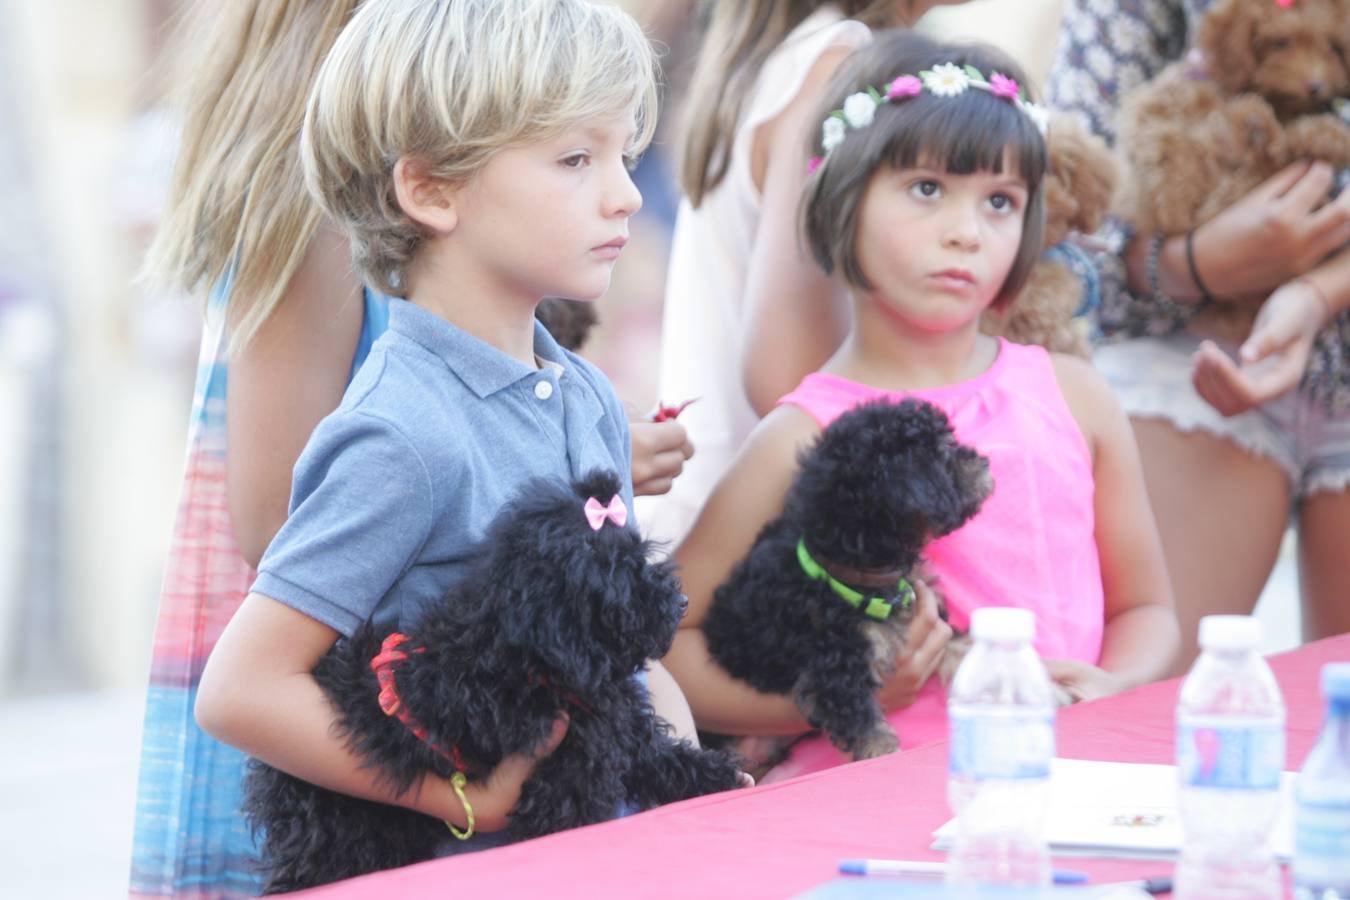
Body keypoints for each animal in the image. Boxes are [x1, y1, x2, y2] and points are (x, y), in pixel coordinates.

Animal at [248, 472, 745, 895]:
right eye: (618, 572)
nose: (681, 602)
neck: (531, 655)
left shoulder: (615, 725)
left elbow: (663, 756)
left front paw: (722, 776)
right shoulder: (567, 775)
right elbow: (572, 827)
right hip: (343, 835)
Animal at [707, 399, 993, 761]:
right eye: (945, 453)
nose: (983, 461)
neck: (852, 571)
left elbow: (961, 646)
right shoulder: (836, 664)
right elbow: (862, 722)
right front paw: (882, 754)